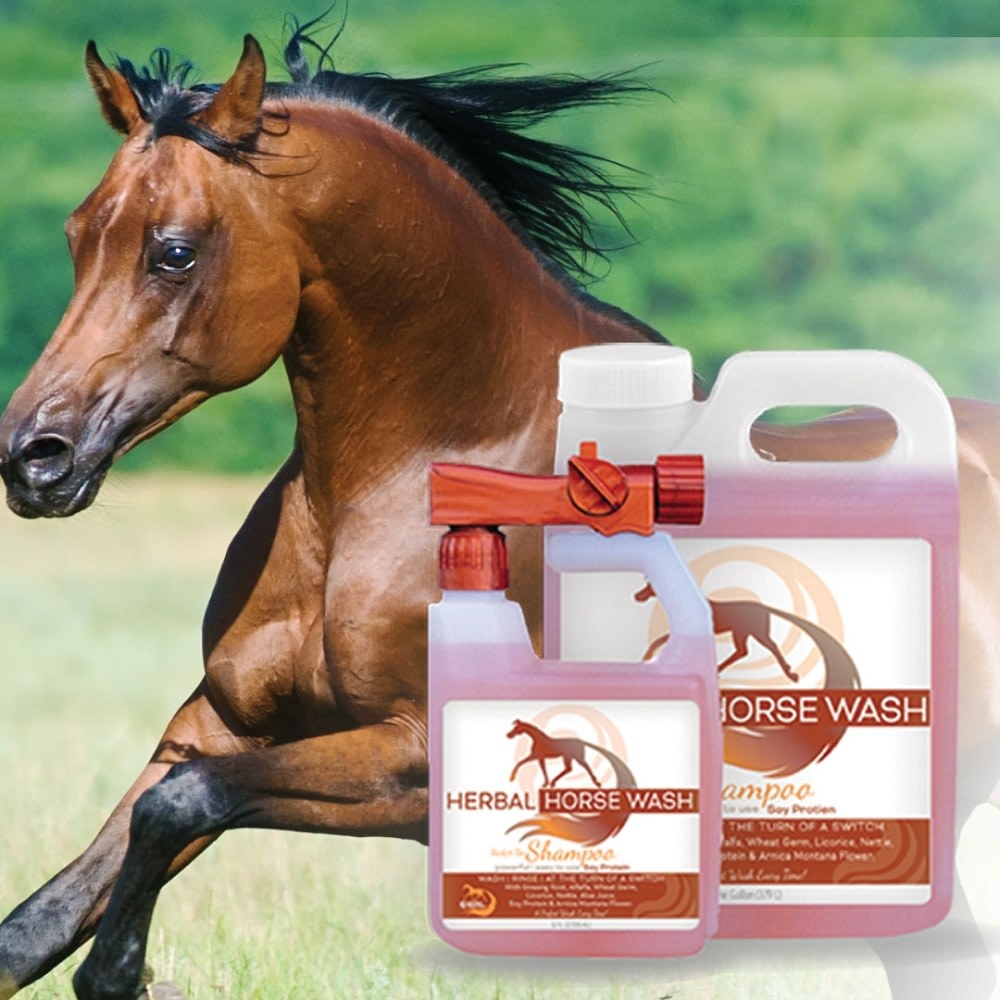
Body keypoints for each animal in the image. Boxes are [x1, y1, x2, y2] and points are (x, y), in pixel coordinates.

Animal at [0, 19, 997, 1000]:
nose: (32, 458)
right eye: (77, 234)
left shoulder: (415, 757)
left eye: (175, 250)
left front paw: (124, 970)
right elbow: (46, 915)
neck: (391, 486)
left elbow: (183, 805)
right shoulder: (217, 723)